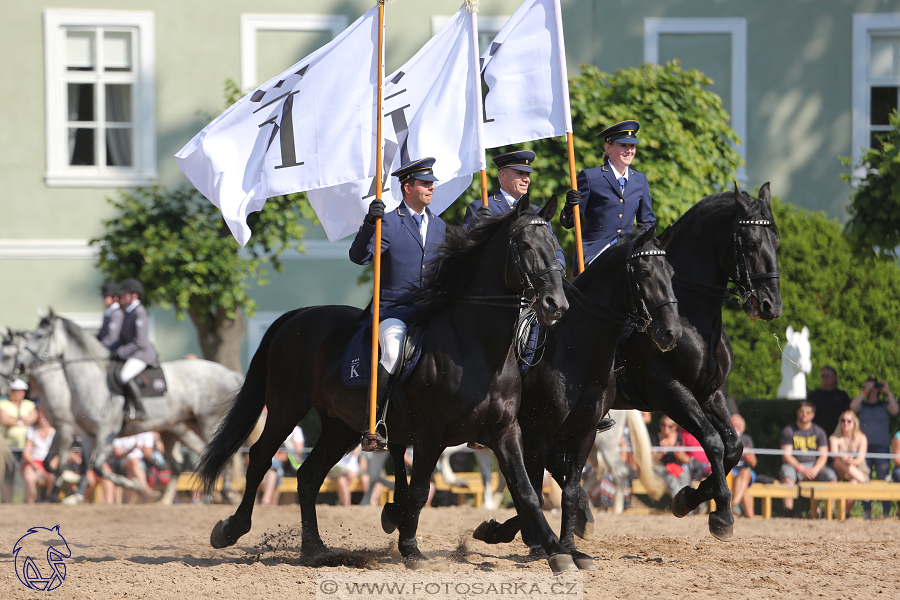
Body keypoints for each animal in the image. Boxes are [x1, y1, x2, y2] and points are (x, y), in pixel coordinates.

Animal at [14, 314, 244, 502]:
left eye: (40, 335)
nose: (20, 365)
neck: (90, 380)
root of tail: (228, 373)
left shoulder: (104, 432)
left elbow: (98, 467)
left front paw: (133, 485)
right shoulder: (87, 433)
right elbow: (85, 465)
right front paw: (77, 496)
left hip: (208, 422)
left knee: (222, 454)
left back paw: (220, 495)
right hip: (181, 427)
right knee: (187, 462)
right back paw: (173, 499)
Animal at [197, 196, 584, 572]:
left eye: (555, 245)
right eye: (525, 245)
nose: (556, 304)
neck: (476, 347)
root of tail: (299, 315)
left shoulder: (505, 431)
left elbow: (527, 491)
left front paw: (557, 552)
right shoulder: (430, 433)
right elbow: (419, 490)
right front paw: (410, 548)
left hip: (340, 426)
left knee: (308, 476)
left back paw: (315, 549)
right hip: (285, 406)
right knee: (261, 457)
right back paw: (231, 530)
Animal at [472, 223, 684, 560]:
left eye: (671, 272)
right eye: (645, 272)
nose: (671, 333)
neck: (576, 350)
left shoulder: (584, 432)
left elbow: (568, 489)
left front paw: (569, 546)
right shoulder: (537, 432)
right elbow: (533, 488)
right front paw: (534, 541)